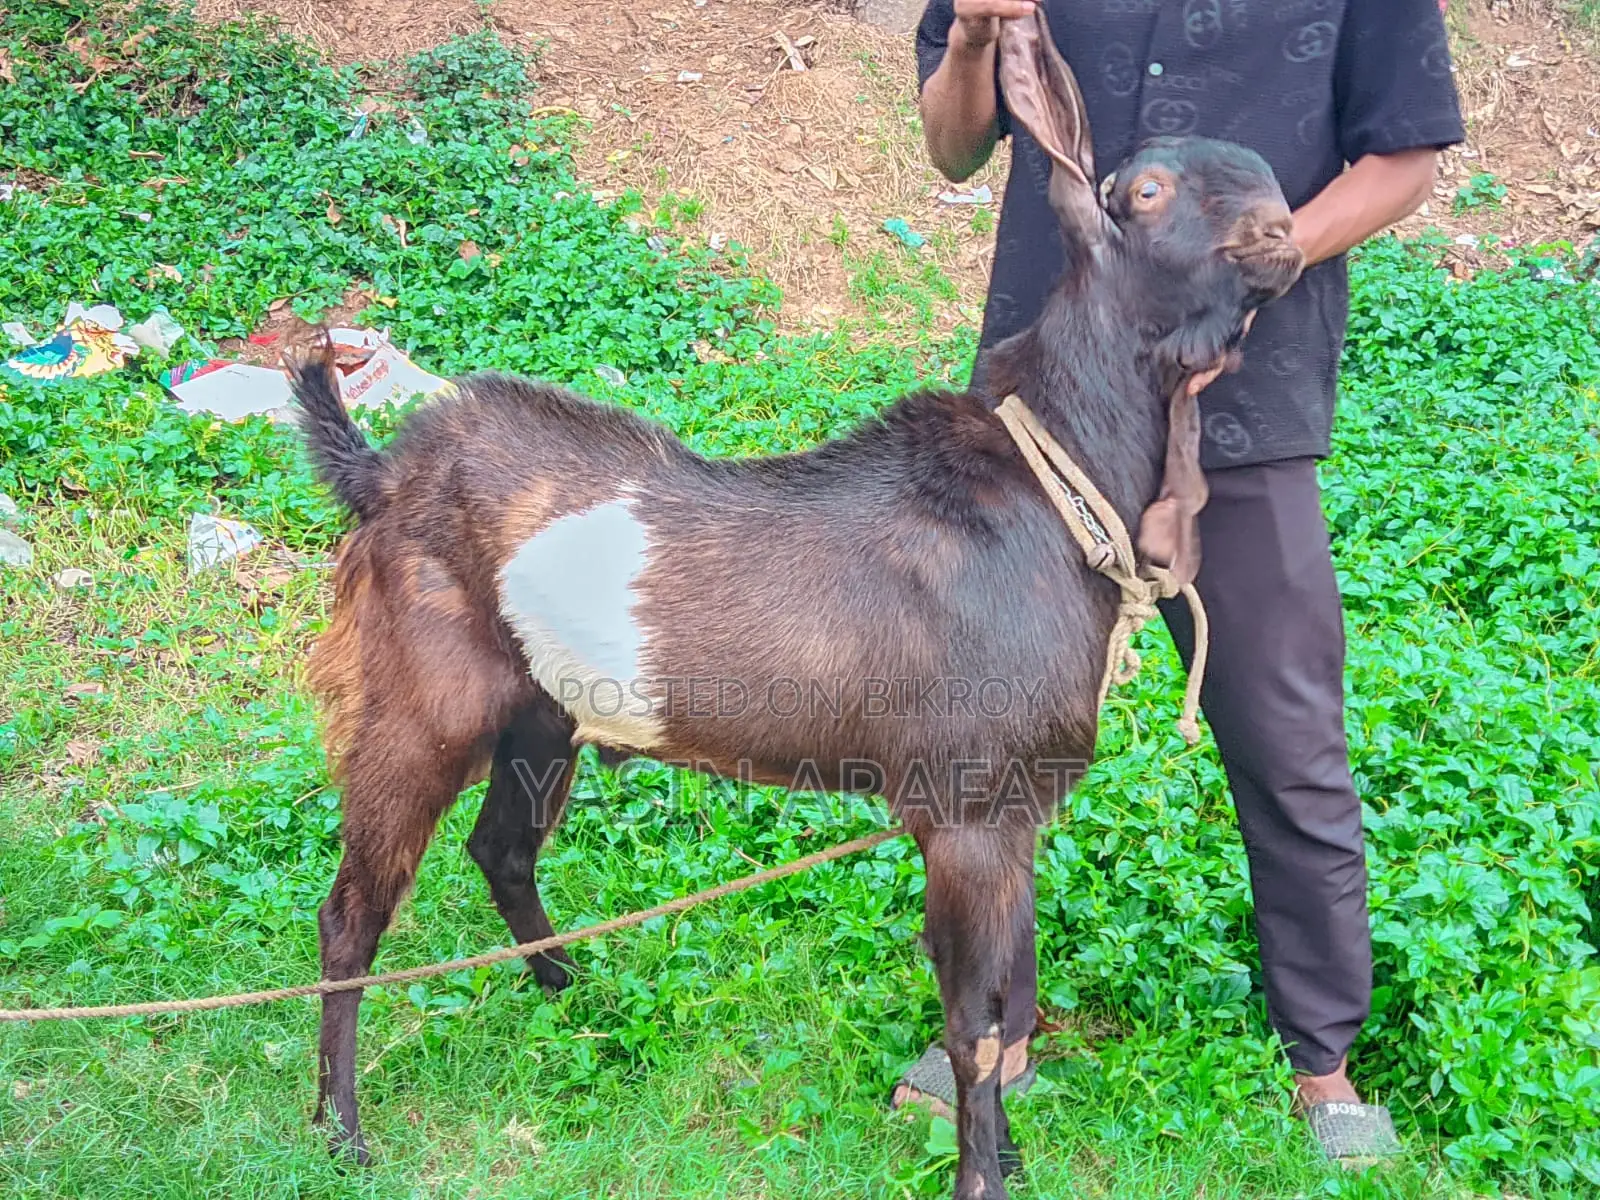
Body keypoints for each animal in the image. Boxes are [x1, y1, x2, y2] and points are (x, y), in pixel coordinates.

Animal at [285, 11, 1303, 1198]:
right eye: (1146, 191)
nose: (1285, 230)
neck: (1057, 481)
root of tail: (380, 472)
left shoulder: (1018, 807)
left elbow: (1016, 1001)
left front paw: (1006, 1156)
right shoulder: (964, 809)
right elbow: (975, 1025)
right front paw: (981, 1176)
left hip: (544, 706)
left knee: (501, 850)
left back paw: (580, 1001)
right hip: (420, 692)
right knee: (352, 911)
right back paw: (341, 1129)